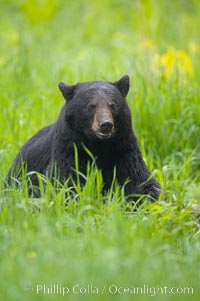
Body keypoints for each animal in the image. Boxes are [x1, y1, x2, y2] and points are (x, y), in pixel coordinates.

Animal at [6, 75, 161, 202]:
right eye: (91, 105)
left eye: (112, 104)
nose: (105, 124)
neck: (99, 144)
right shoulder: (69, 149)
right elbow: (65, 182)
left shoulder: (123, 147)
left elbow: (139, 178)